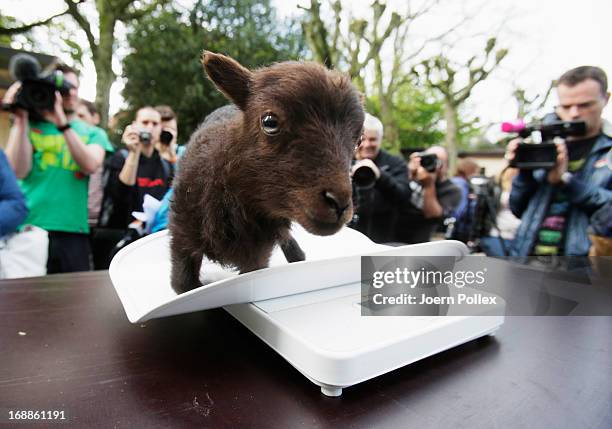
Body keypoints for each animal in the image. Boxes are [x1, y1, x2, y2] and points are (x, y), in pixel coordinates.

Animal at [169, 49, 364, 290]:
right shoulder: (182, 238)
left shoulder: (256, 258)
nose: (339, 204)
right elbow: (183, 284)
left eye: (359, 140)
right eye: (269, 122)